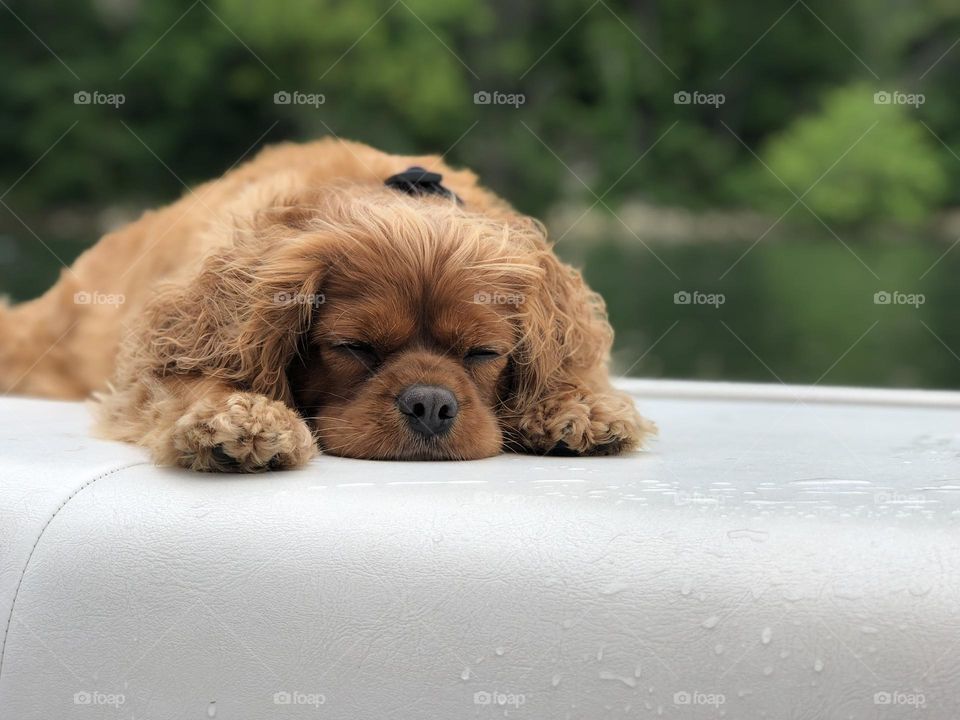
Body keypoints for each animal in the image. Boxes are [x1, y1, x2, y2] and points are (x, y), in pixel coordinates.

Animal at [0, 138, 652, 470]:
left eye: (483, 354)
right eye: (354, 348)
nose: (431, 405)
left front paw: (575, 407)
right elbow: (189, 378)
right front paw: (235, 416)